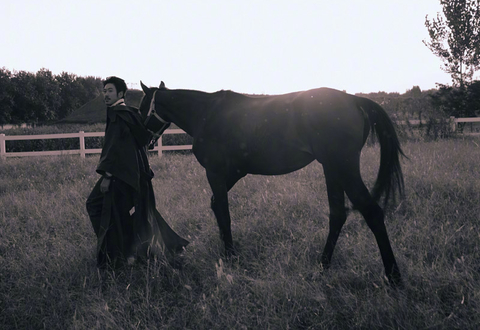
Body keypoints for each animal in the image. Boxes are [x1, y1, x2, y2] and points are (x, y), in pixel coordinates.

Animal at [139, 81, 404, 284]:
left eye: (142, 108)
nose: (144, 140)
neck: (206, 113)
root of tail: (353, 100)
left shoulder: (215, 173)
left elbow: (223, 211)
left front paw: (230, 256)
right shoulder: (232, 174)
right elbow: (217, 206)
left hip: (343, 169)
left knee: (372, 212)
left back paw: (394, 278)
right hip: (332, 170)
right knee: (337, 214)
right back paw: (323, 264)